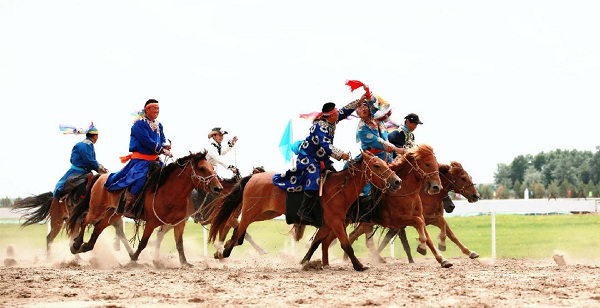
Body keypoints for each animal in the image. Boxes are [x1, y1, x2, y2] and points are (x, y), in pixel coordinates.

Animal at [67, 150, 223, 266]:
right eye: (202, 168)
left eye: (212, 167)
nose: (218, 188)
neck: (169, 192)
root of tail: (101, 177)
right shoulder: (151, 222)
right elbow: (143, 243)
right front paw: (133, 260)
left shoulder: (179, 223)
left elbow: (179, 243)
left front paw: (185, 263)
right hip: (96, 210)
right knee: (85, 221)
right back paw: (76, 245)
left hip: (114, 213)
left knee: (99, 227)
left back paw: (86, 246)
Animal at [209, 150, 400, 270]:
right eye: (376, 165)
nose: (397, 181)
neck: (339, 188)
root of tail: (253, 177)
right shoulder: (336, 223)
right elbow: (346, 244)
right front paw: (359, 266)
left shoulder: (328, 224)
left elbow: (316, 243)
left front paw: (304, 262)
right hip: (251, 212)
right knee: (238, 226)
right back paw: (224, 251)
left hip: (265, 214)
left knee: (238, 228)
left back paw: (224, 249)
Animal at [302, 144, 452, 268]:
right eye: (427, 164)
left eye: (436, 165)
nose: (436, 187)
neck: (405, 192)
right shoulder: (396, 221)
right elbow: (419, 225)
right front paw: (422, 247)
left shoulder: (417, 216)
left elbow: (427, 235)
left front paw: (442, 259)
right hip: (339, 222)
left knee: (326, 241)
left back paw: (325, 263)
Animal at [346, 160, 478, 264]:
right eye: (463, 178)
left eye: (470, 177)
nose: (476, 195)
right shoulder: (416, 220)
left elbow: (450, 233)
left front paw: (470, 252)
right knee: (356, 236)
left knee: (353, 235)